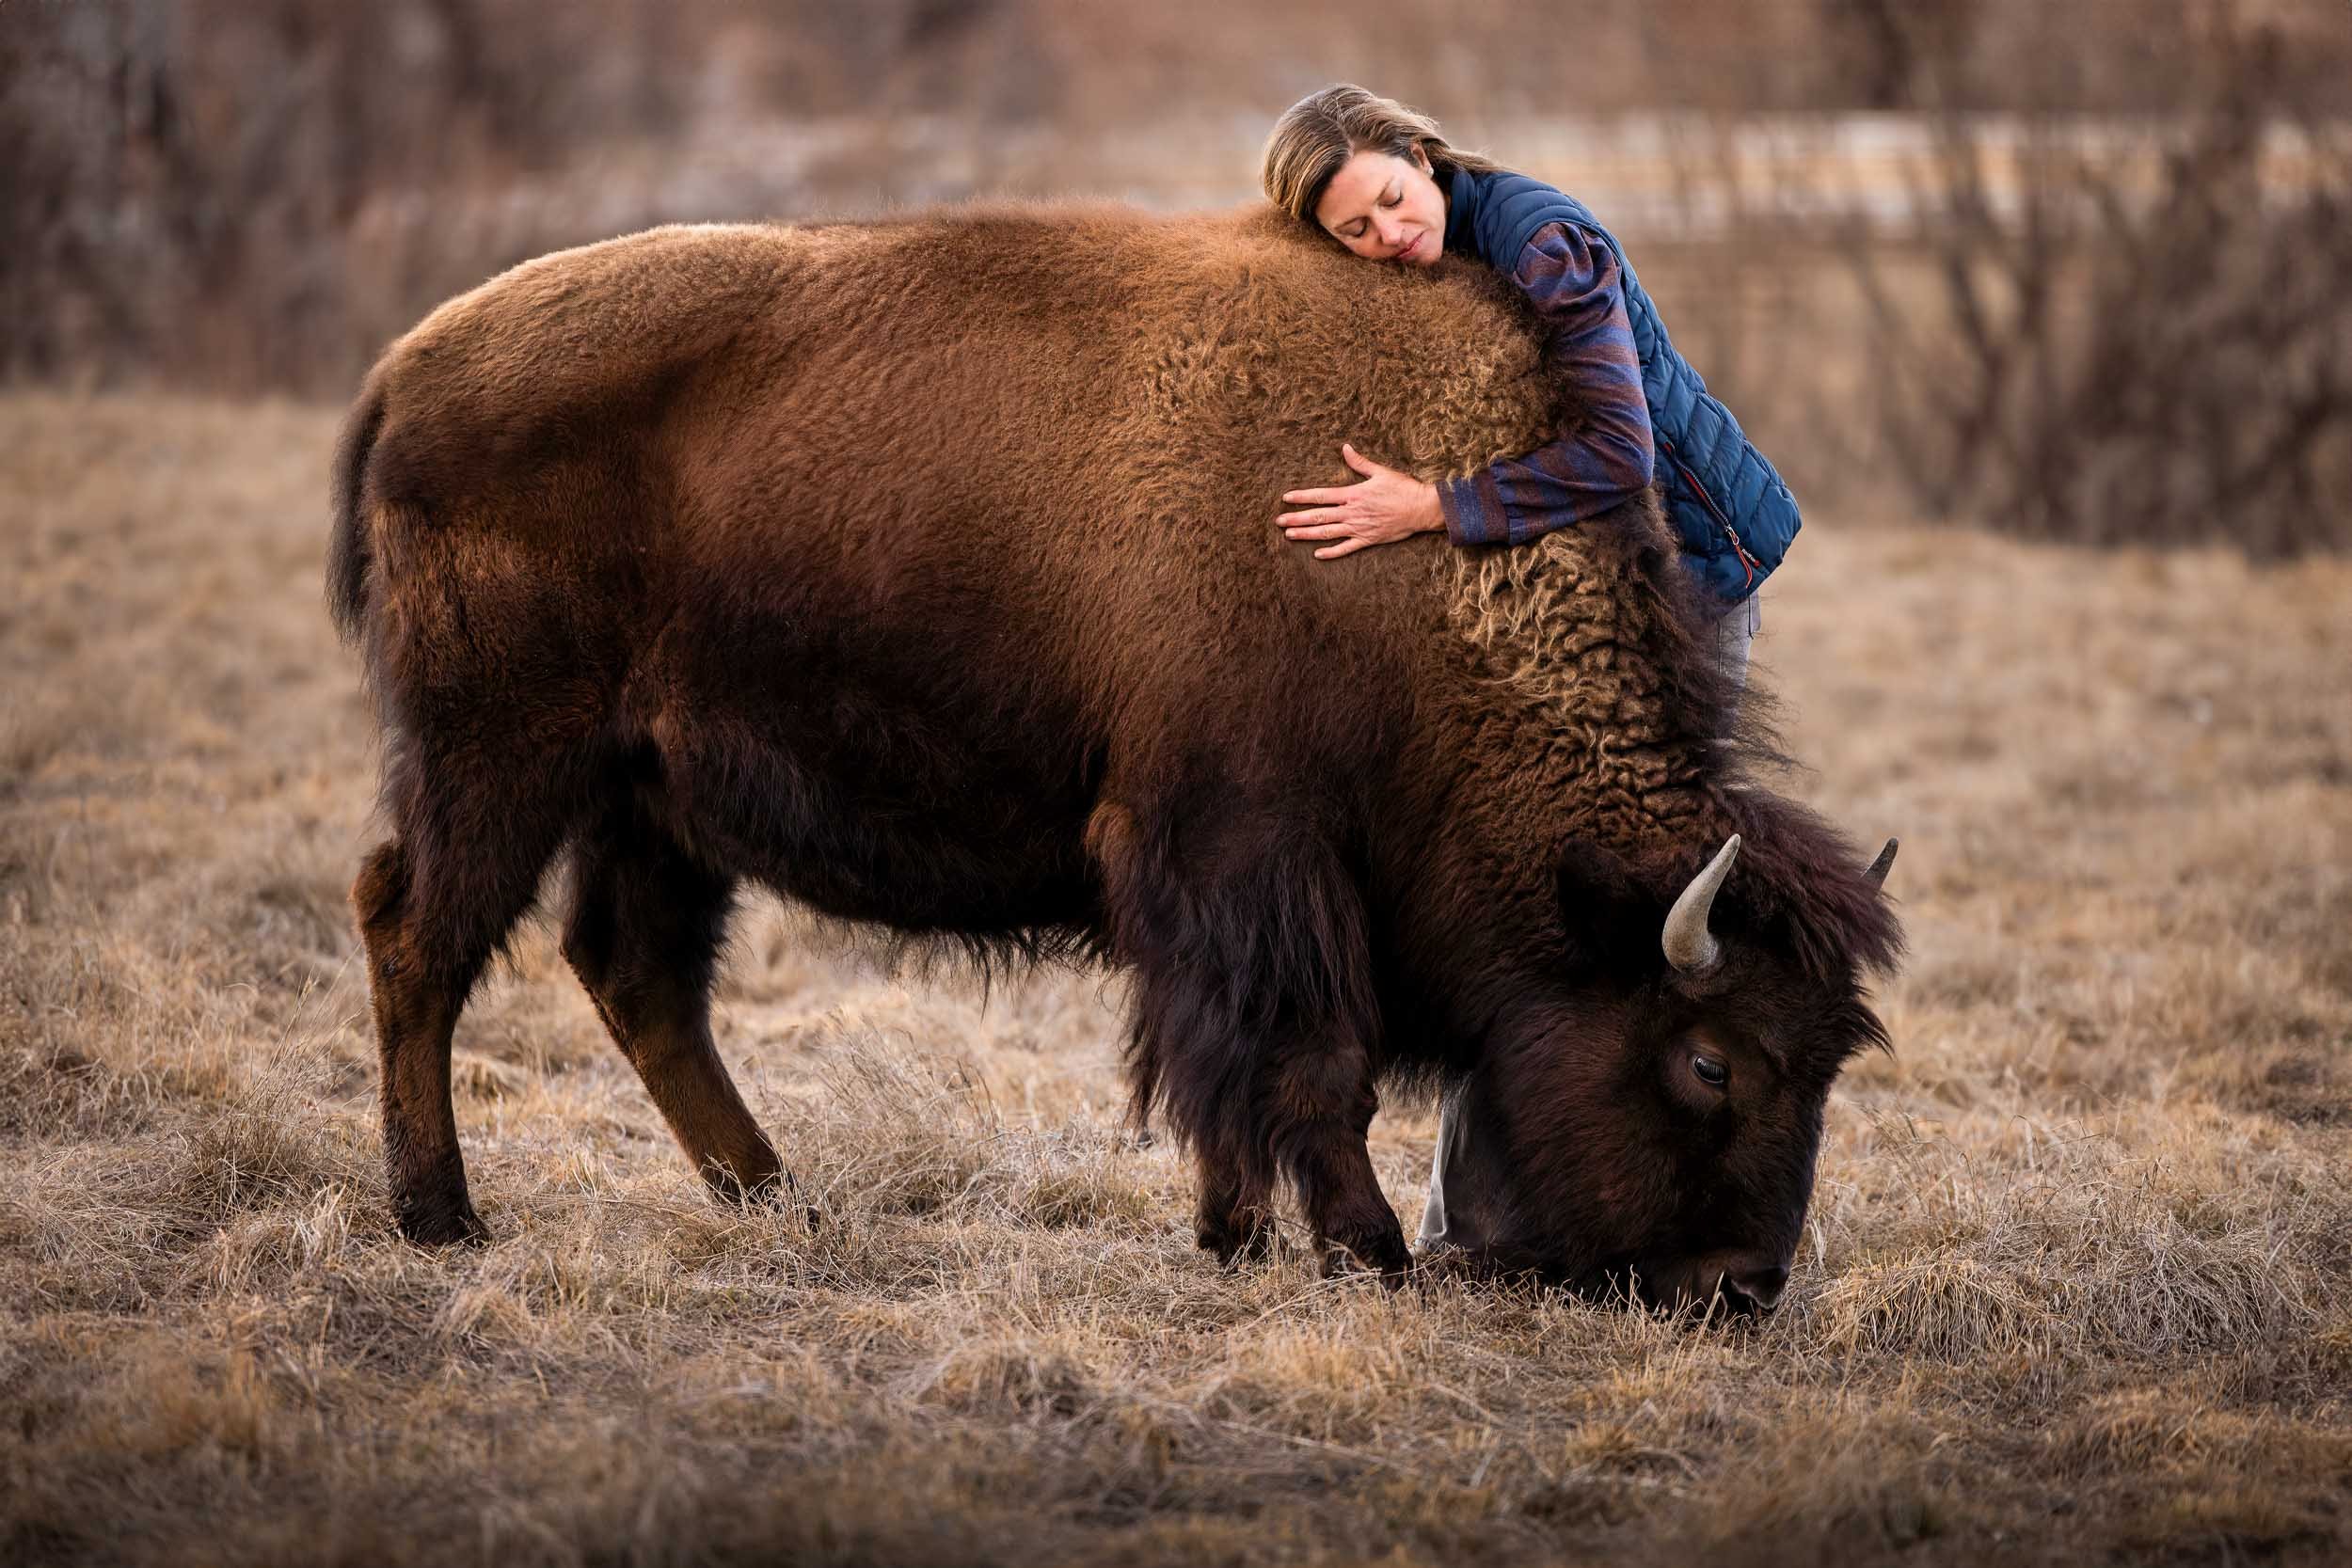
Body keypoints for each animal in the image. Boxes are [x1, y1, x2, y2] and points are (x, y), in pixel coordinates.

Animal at [328, 203, 1902, 1305]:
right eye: (1709, 1059)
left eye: (1831, 1060)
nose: (1742, 1288)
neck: (1421, 575)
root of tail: (409, 365)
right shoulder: (1247, 848)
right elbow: (1306, 1058)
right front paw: (1366, 1246)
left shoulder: (1224, 882)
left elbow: (1223, 1057)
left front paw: (1232, 1232)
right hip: (502, 756)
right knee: (418, 931)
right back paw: (444, 1215)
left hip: (652, 796)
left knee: (636, 973)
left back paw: (779, 1199)